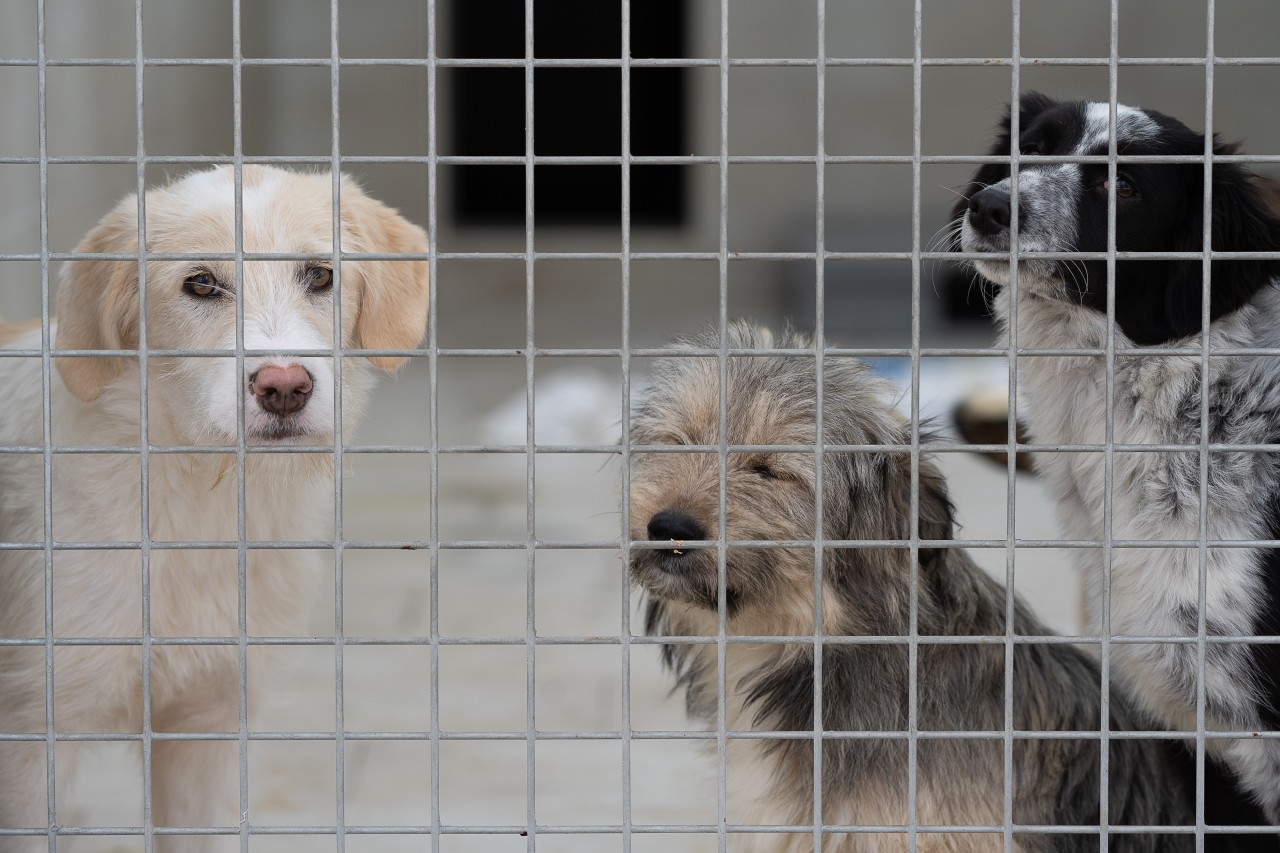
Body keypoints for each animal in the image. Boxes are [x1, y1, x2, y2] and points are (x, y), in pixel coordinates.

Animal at [0, 163, 430, 845]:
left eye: (320, 275)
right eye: (200, 283)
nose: (284, 388)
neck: (199, 496)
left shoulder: (209, 721)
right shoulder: (30, 735)